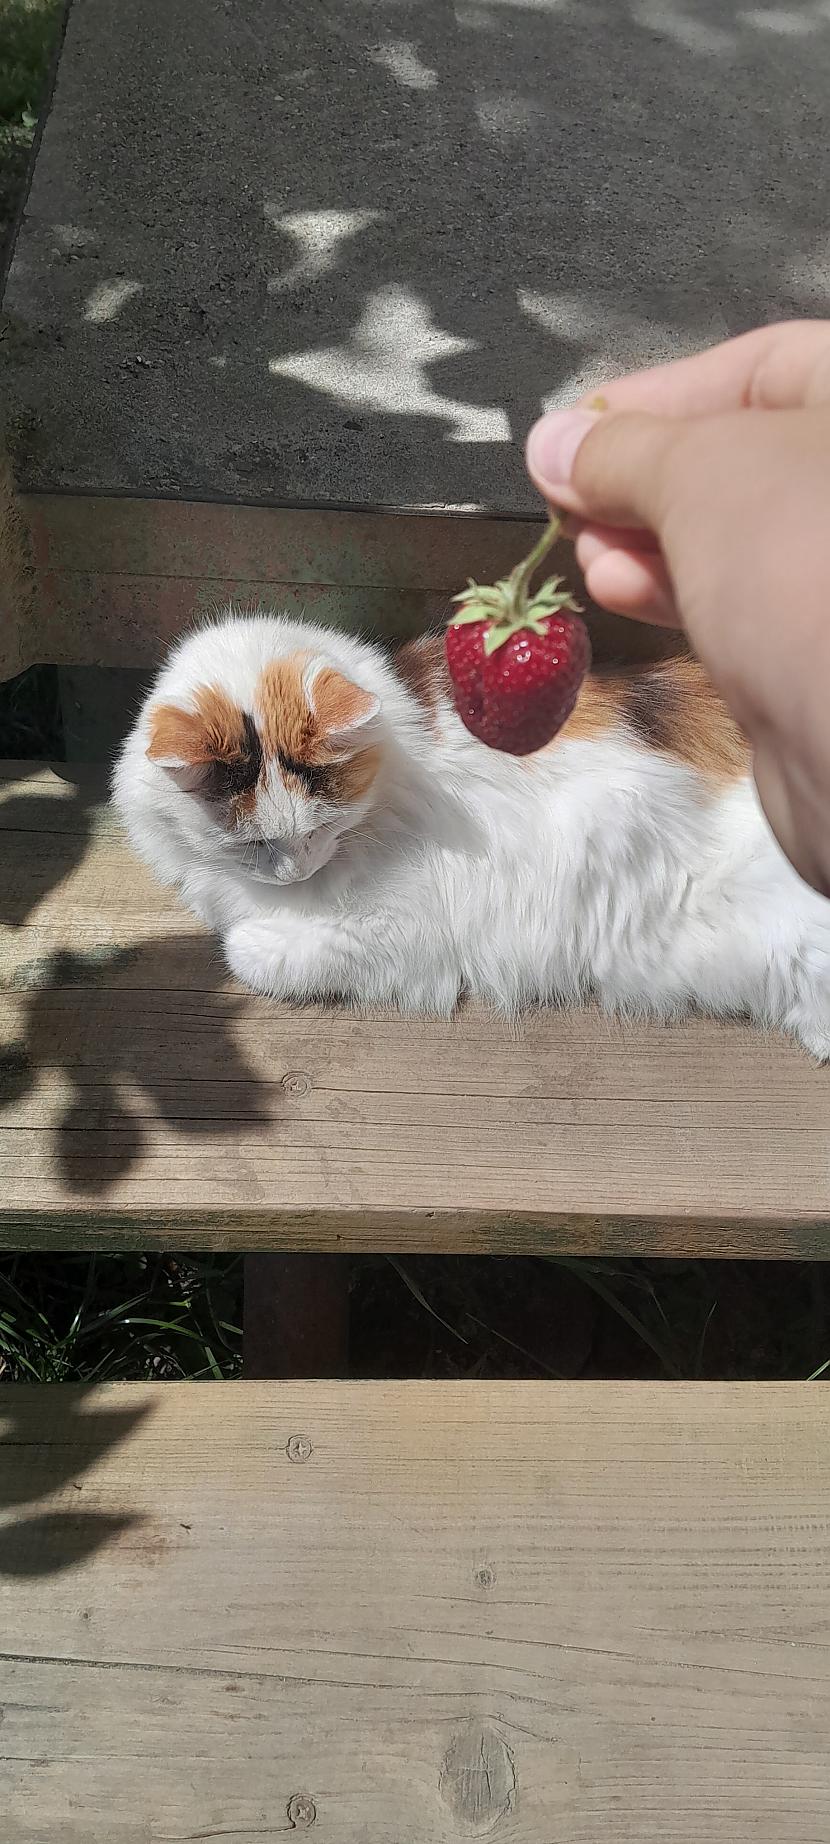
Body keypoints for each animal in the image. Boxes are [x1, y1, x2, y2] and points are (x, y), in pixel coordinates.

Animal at [113, 612, 830, 1062]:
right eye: (253, 846)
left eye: (323, 826)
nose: (296, 873)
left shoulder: (400, 925)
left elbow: (249, 951)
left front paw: (250, 933)